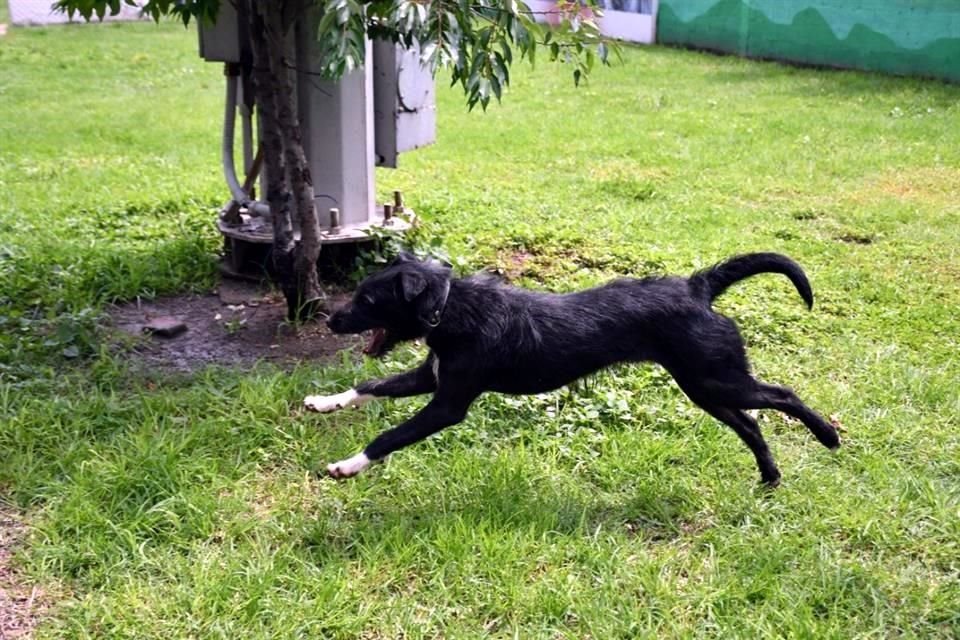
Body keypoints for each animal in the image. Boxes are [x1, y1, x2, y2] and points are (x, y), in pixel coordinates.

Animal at [310, 250, 840, 484]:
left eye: (368, 300)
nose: (330, 319)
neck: (450, 309)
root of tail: (698, 287)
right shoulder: (429, 378)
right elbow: (371, 383)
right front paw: (324, 400)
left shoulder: (447, 405)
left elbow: (390, 435)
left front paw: (349, 464)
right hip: (705, 386)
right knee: (750, 423)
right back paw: (770, 475)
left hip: (718, 378)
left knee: (783, 396)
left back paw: (828, 435)